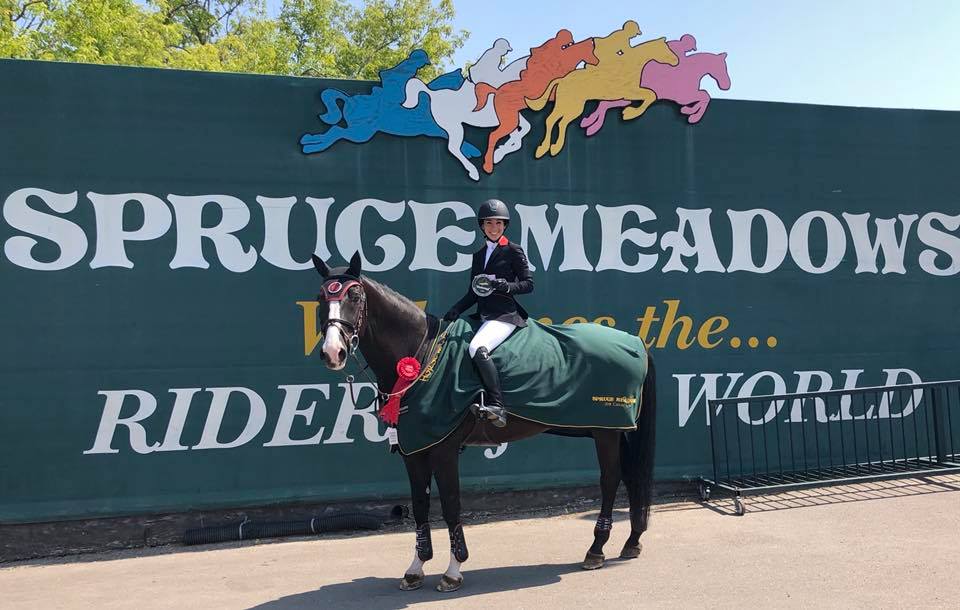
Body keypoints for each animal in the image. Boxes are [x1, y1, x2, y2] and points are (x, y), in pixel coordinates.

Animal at [298, 49, 480, 158]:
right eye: (462, 82)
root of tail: (350, 99)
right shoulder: (431, 129)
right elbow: (449, 137)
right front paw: (471, 151)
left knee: (334, 131)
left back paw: (309, 141)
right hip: (361, 132)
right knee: (336, 131)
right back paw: (311, 146)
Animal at [312, 251, 656, 588]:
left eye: (355, 296)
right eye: (320, 297)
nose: (333, 352)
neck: (423, 355)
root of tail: (633, 340)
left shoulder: (443, 448)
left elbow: (450, 504)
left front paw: (453, 570)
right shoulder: (414, 450)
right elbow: (420, 505)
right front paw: (416, 568)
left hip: (606, 431)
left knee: (610, 478)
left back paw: (596, 549)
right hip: (611, 429)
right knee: (629, 475)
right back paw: (631, 542)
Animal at [470, 29, 596, 175]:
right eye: (592, 52)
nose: (596, 61)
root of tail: (496, 91)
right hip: (510, 120)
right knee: (493, 135)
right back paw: (488, 165)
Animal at [524, 22, 676, 157]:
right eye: (666, 48)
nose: (676, 61)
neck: (631, 65)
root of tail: (561, 79)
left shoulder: (617, 97)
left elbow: (607, 106)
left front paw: (592, 122)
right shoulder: (628, 91)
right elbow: (651, 95)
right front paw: (629, 113)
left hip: (565, 104)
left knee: (551, 120)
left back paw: (545, 148)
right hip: (572, 106)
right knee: (560, 122)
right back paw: (554, 147)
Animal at [580, 34, 732, 134]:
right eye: (723, 67)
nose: (726, 85)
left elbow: (704, 96)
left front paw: (689, 111)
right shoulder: (683, 97)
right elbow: (705, 95)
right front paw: (692, 114)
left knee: (604, 105)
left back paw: (590, 123)